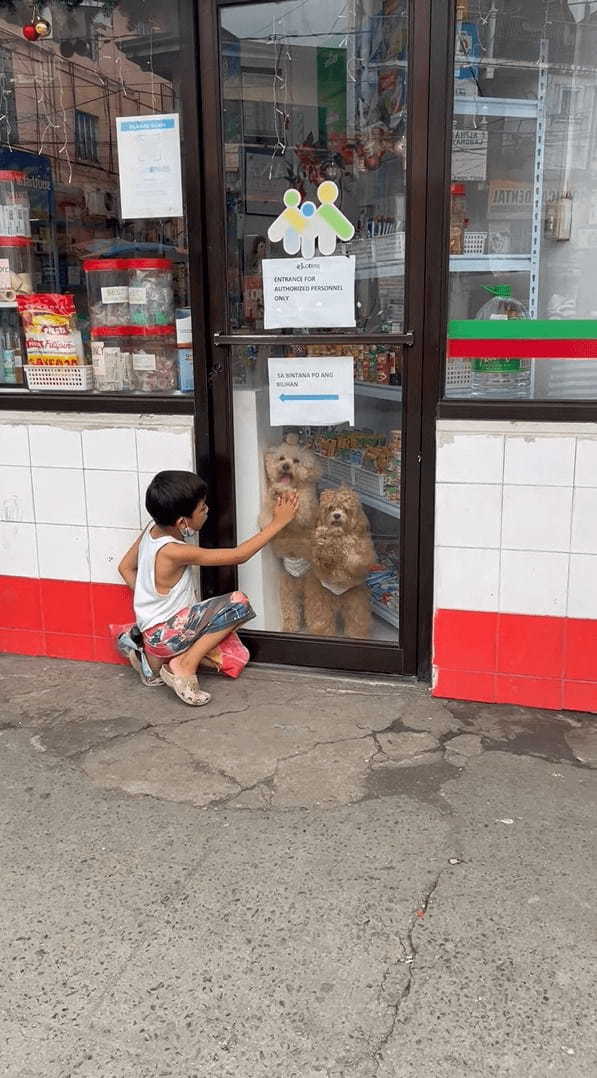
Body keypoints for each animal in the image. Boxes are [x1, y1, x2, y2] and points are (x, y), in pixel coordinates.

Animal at [256, 431, 318, 629]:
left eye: (296, 461)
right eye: (281, 458)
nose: (285, 466)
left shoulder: (305, 510)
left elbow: (301, 512)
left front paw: (282, 491)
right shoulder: (269, 510)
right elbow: (267, 517)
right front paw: (276, 491)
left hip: (310, 587)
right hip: (287, 588)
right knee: (291, 610)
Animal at [303, 491, 375, 638]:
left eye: (345, 509)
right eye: (330, 508)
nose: (337, 515)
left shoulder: (363, 551)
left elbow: (356, 558)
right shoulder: (320, 561)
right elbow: (322, 555)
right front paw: (324, 544)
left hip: (355, 599)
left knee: (357, 619)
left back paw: (357, 636)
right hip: (321, 597)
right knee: (321, 619)